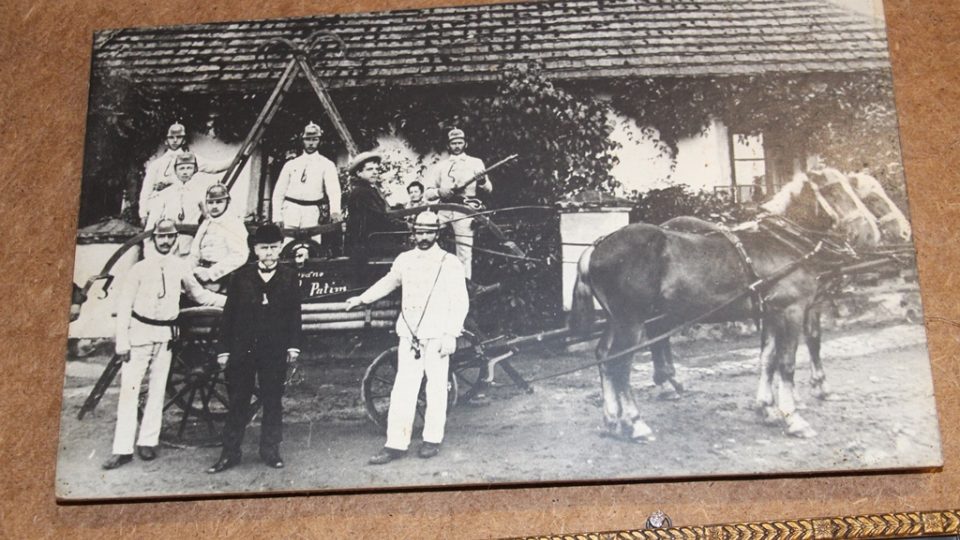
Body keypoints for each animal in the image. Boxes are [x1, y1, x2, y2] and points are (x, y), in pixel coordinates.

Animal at [568, 169, 908, 442]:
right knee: (620, 364)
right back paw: (637, 423)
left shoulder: (771, 313)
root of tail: (596, 246)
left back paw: (613, 419)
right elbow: (787, 363)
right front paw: (795, 417)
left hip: (617, 320)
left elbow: (767, 359)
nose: (871, 232)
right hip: (632, 322)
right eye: (835, 190)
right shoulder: (792, 310)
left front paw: (768, 409)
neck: (782, 241)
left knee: (604, 356)